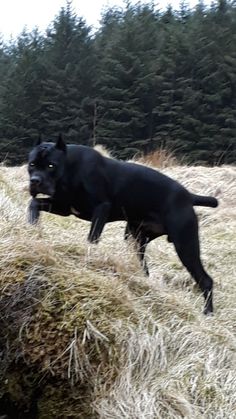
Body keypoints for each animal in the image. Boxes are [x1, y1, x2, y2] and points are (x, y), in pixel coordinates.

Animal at [27, 135, 218, 316]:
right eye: (32, 164)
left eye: (51, 165)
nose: (35, 181)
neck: (70, 170)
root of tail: (189, 196)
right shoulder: (64, 207)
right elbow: (33, 203)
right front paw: (32, 226)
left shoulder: (101, 208)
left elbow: (92, 238)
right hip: (135, 239)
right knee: (144, 268)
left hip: (185, 245)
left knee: (205, 280)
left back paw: (207, 313)